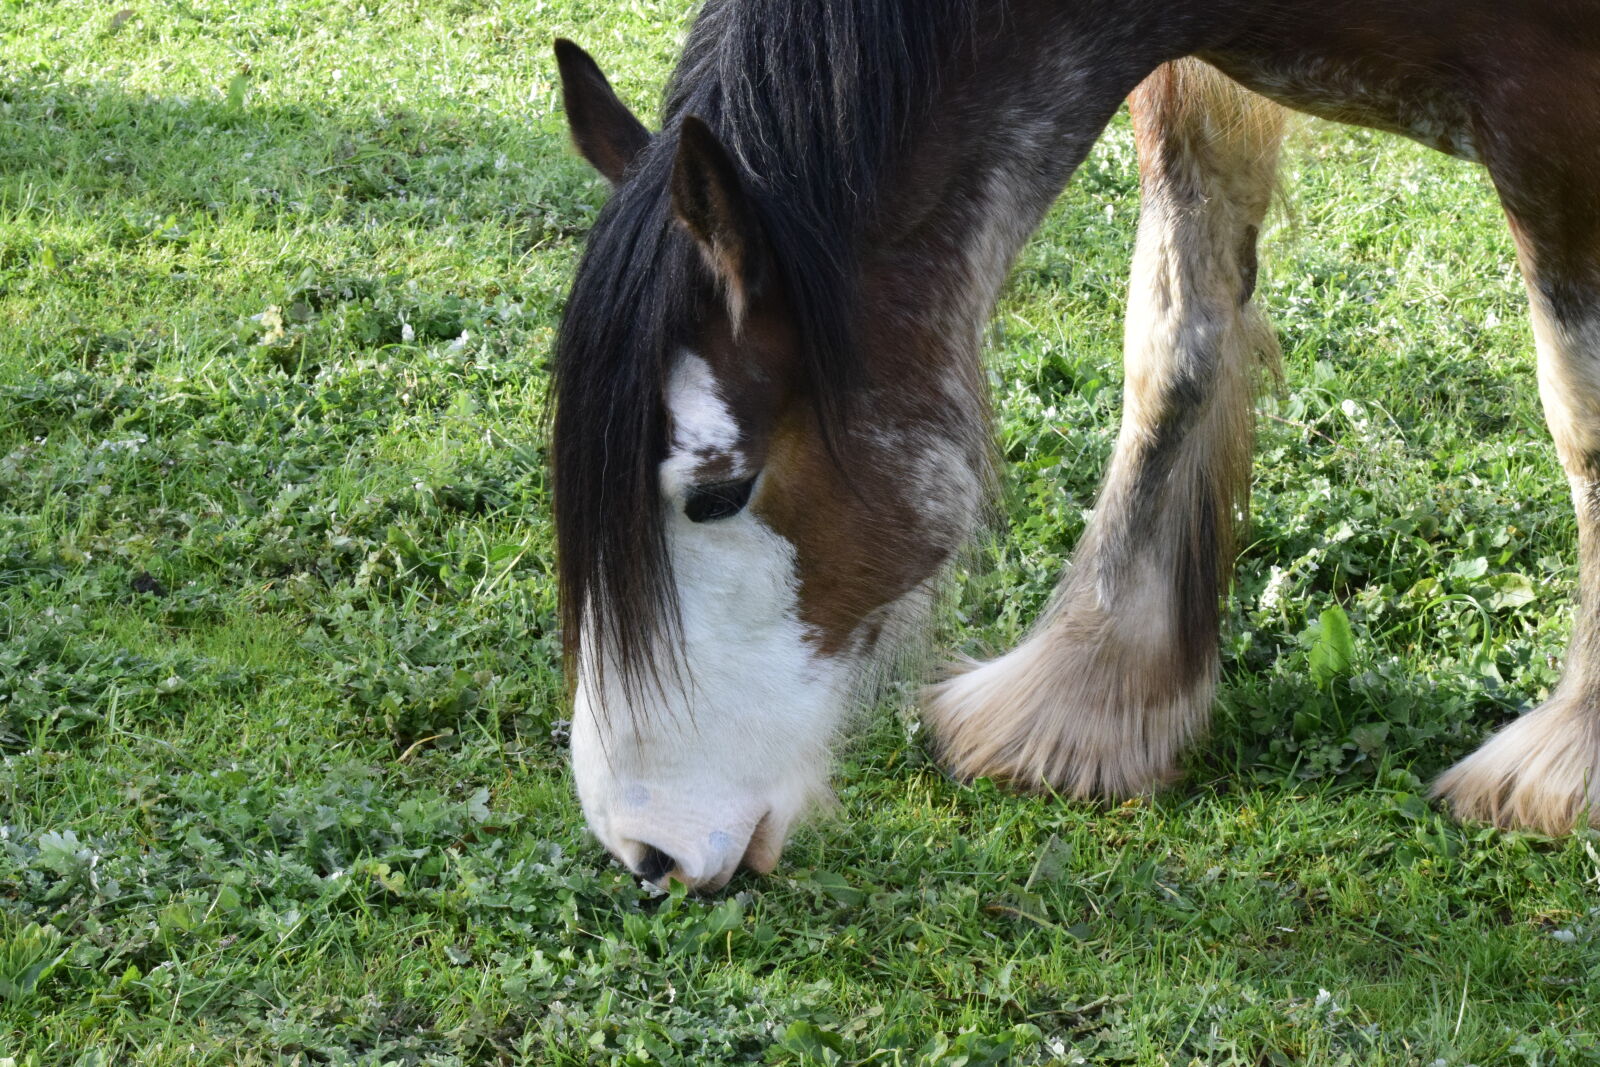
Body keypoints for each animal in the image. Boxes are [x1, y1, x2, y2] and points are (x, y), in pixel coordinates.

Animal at [551, 0, 1600, 890]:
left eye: (718, 495)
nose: (645, 847)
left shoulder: (1557, 117)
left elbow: (1581, 411)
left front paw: (1575, 758)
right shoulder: (1189, 79)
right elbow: (1175, 341)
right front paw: (1090, 690)